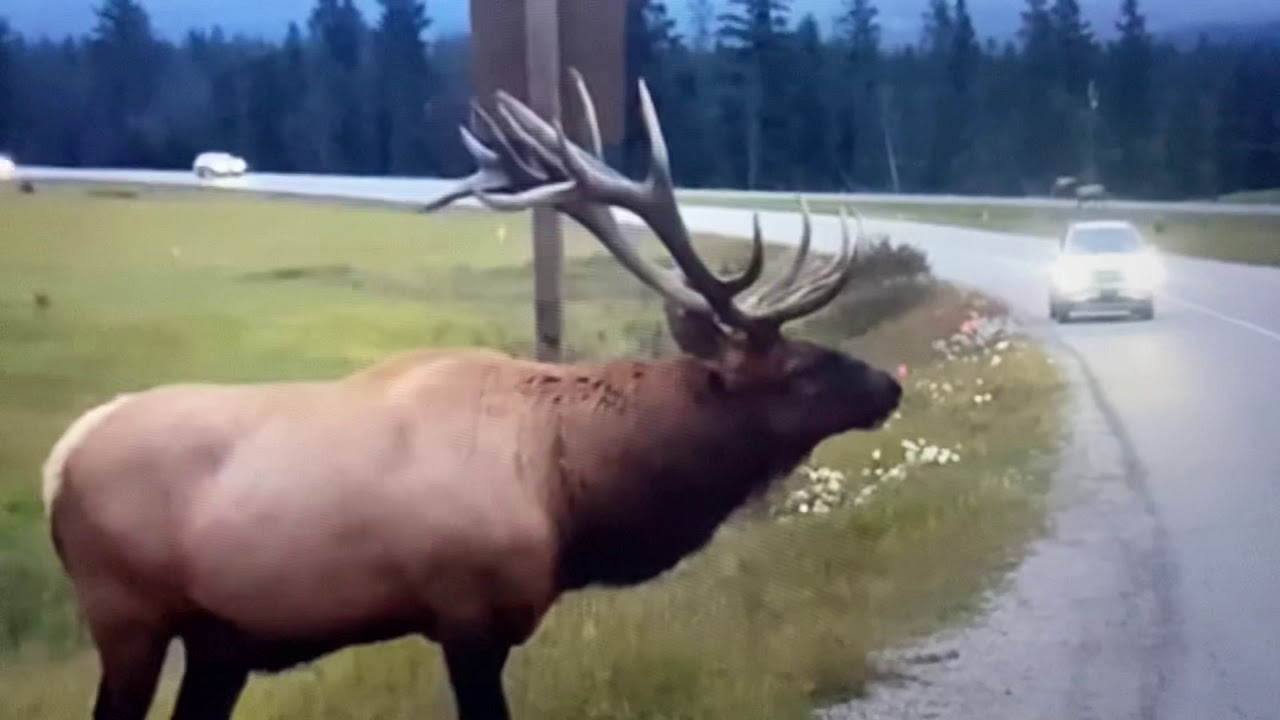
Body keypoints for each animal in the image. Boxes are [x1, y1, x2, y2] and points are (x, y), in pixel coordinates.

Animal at [41, 69, 903, 720]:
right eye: (800, 367)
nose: (889, 383)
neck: (573, 495)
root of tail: (59, 460)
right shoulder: (466, 613)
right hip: (127, 613)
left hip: (220, 639)